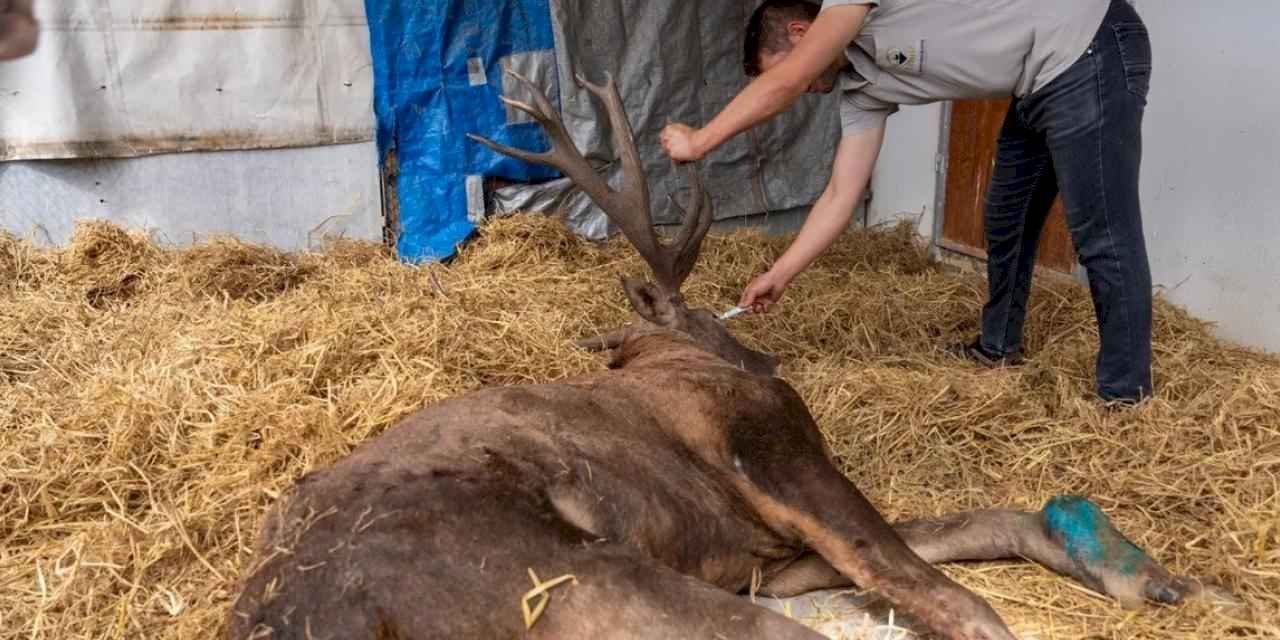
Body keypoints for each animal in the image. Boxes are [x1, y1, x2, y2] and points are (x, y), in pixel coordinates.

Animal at [225, 71, 1233, 640]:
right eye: (706, 316)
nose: (766, 358)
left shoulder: (768, 553)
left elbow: (963, 530)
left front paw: (1143, 573)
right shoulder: (774, 454)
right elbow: (942, 588)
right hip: (585, 585)